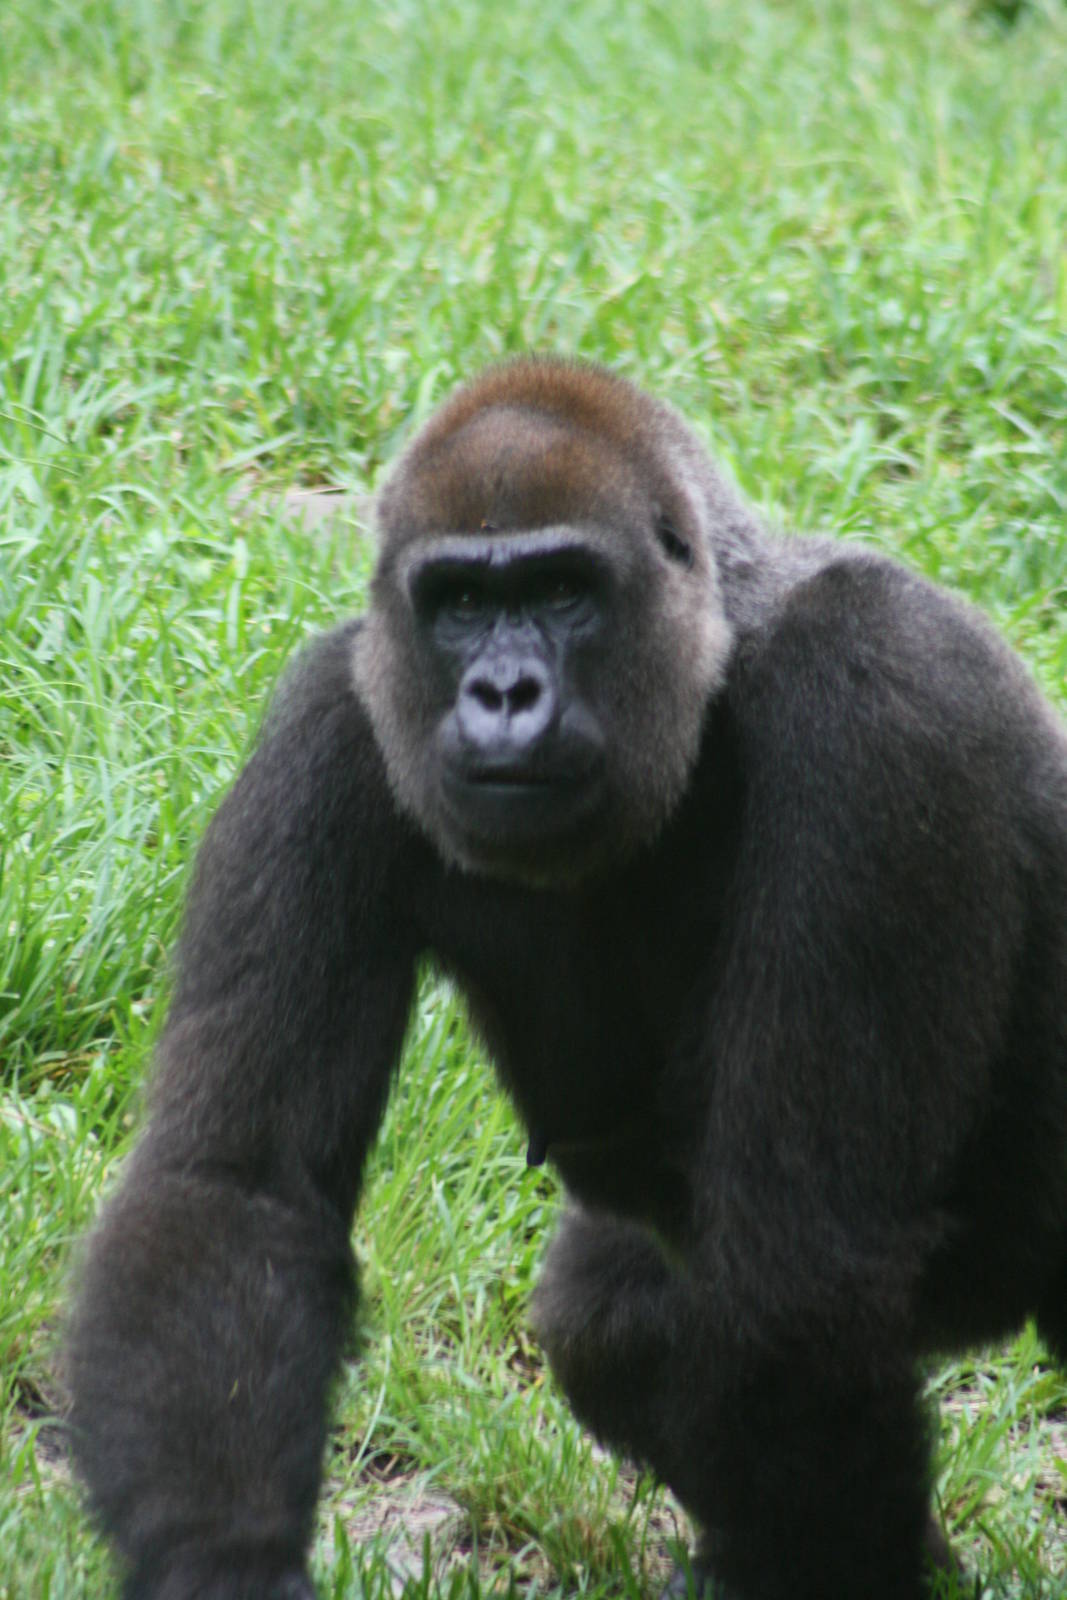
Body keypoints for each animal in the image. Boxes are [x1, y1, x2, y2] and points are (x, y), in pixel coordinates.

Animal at [66, 358, 1067, 1600]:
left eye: (560, 590)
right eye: (455, 603)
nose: (502, 692)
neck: (712, 658)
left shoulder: (882, 690)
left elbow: (800, 1253)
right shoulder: (334, 719)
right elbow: (234, 1183)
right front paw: (222, 1562)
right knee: (615, 1320)